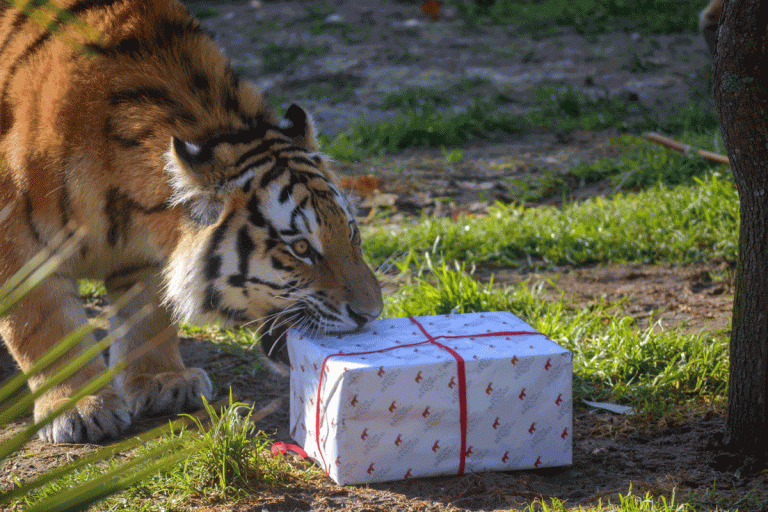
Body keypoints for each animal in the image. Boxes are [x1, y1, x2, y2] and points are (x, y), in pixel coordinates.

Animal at [0, 0, 384, 442]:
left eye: (351, 233)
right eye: (301, 248)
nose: (372, 314)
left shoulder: (145, 254)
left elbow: (149, 316)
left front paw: (163, 382)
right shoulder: (17, 241)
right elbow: (44, 325)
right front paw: (81, 406)